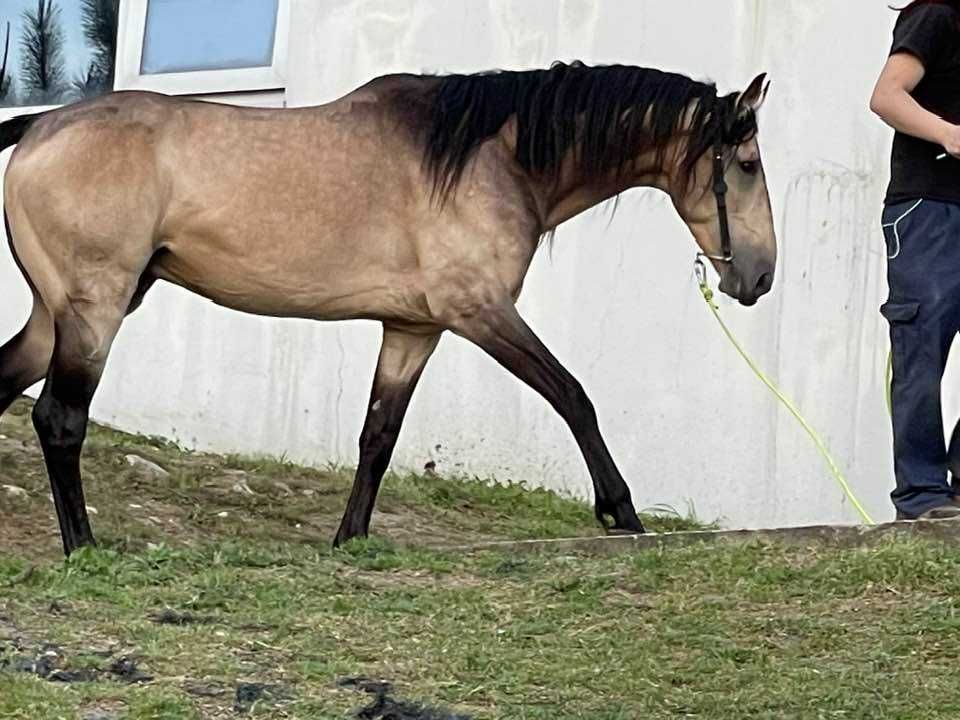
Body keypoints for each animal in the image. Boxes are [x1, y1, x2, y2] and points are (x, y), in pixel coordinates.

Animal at [0, 62, 776, 556]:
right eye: (746, 165)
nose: (761, 276)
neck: (491, 158)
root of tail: (38, 126)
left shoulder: (414, 329)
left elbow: (379, 434)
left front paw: (350, 540)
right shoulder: (480, 312)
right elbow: (573, 395)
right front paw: (621, 513)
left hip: (58, 315)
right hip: (94, 311)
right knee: (59, 420)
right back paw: (84, 547)